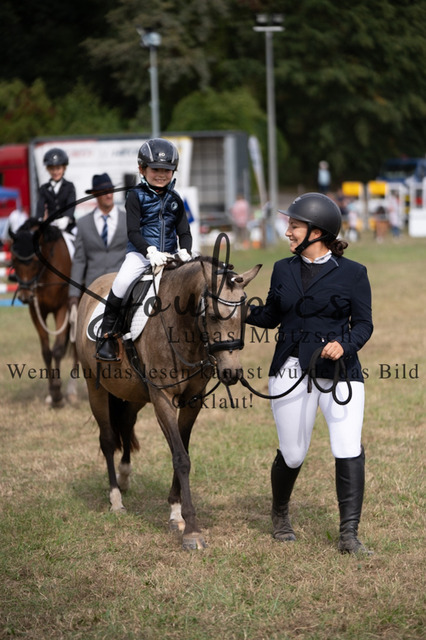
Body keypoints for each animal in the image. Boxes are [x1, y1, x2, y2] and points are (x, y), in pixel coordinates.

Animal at [10, 219, 77, 408]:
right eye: (14, 260)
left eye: (34, 260)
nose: (24, 296)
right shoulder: (36, 311)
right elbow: (46, 352)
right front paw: (52, 393)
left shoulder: (62, 308)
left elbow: (58, 350)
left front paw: (58, 395)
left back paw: (71, 392)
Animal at [76, 255, 261, 550]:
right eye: (211, 315)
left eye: (244, 316)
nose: (231, 373)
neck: (183, 329)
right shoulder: (162, 398)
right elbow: (180, 457)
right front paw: (192, 531)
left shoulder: (192, 401)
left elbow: (182, 448)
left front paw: (176, 513)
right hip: (96, 388)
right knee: (107, 439)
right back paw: (116, 499)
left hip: (134, 394)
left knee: (126, 424)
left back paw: (125, 476)